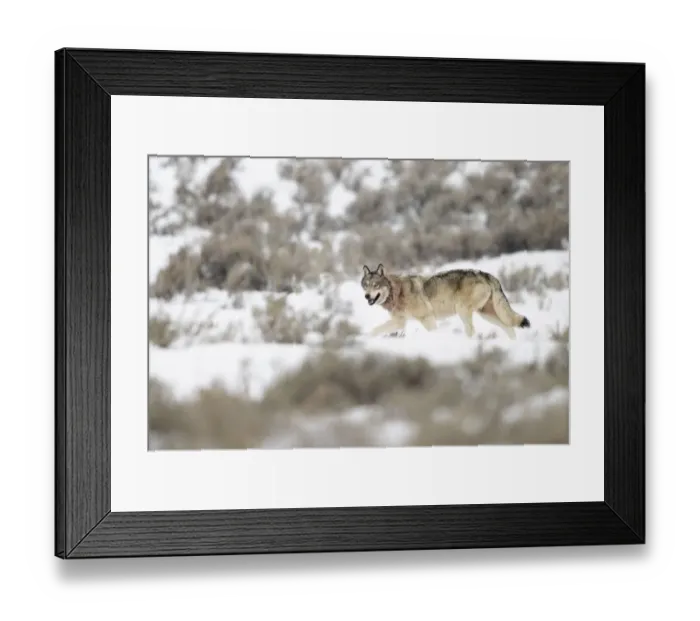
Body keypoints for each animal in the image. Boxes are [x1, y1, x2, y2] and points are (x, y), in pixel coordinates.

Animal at [360, 263, 530, 340]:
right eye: (365, 285)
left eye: (375, 285)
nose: (367, 296)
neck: (396, 291)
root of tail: (486, 274)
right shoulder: (399, 322)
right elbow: (375, 330)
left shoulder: (426, 318)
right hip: (486, 314)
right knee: (509, 327)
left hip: (463, 310)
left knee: (472, 331)